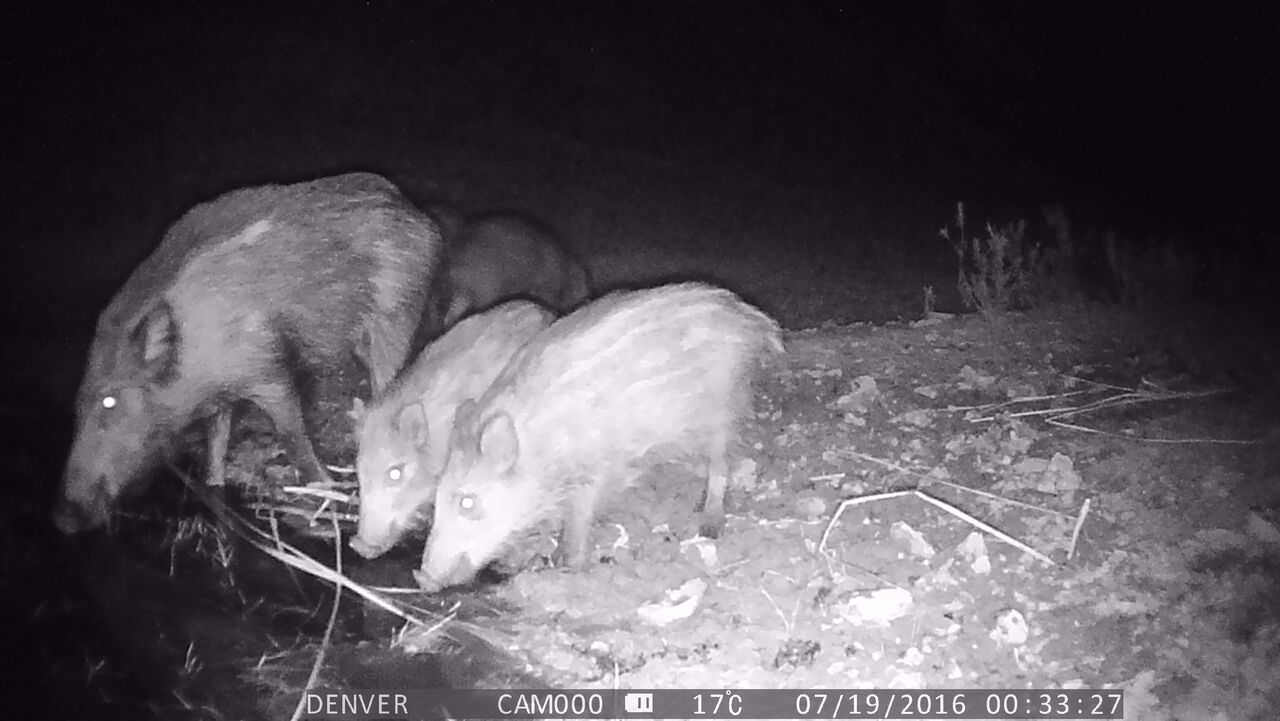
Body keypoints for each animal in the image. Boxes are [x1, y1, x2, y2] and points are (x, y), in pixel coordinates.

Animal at [55, 172, 449, 534]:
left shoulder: (268, 368)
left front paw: (324, 485)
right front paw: (215, 485)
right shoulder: (219, 397)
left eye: (109, 401)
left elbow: (291, 432)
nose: (63, 518)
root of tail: (421, 218)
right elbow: (216, 442)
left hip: (394, 321)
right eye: (78, 401)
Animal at [414, 282, 783, 591]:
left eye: (467, 501)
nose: (422, 578)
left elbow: (578, 521)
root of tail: (748, 316)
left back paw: (709, 526)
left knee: (722, 463)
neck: (542, 451)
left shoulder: (596, 469)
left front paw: (568, 567)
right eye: (436, 501)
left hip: (724, 406)